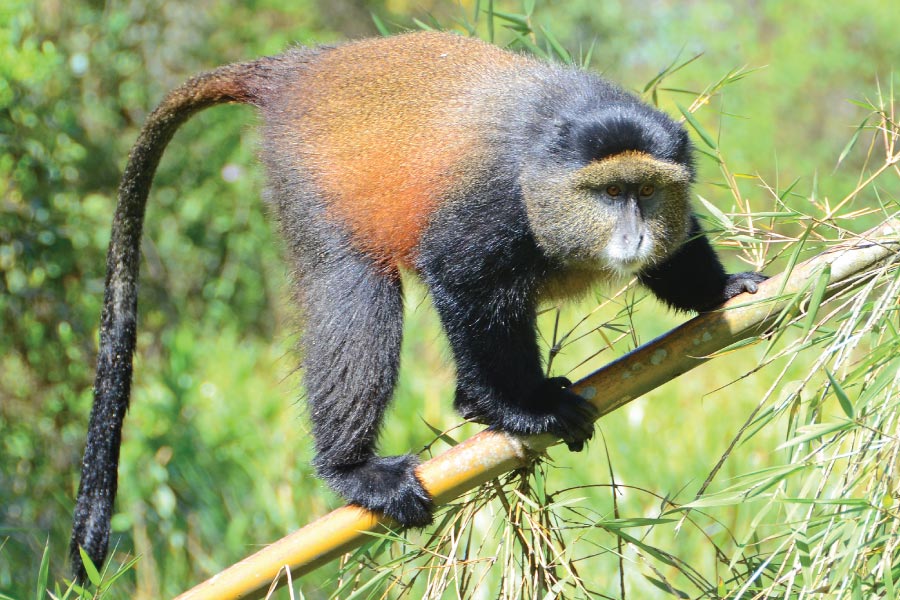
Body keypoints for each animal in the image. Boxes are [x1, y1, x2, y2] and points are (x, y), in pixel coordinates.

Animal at [69, 31, 766, 580]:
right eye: (610, 192)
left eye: (645, 193)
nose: (634, 236)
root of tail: (296, 69)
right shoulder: (490, 207)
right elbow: (462, 282)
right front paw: (515, 409)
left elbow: (678, 253)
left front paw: (722, 290)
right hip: (312, 180)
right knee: (356, 289)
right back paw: (354, 468)